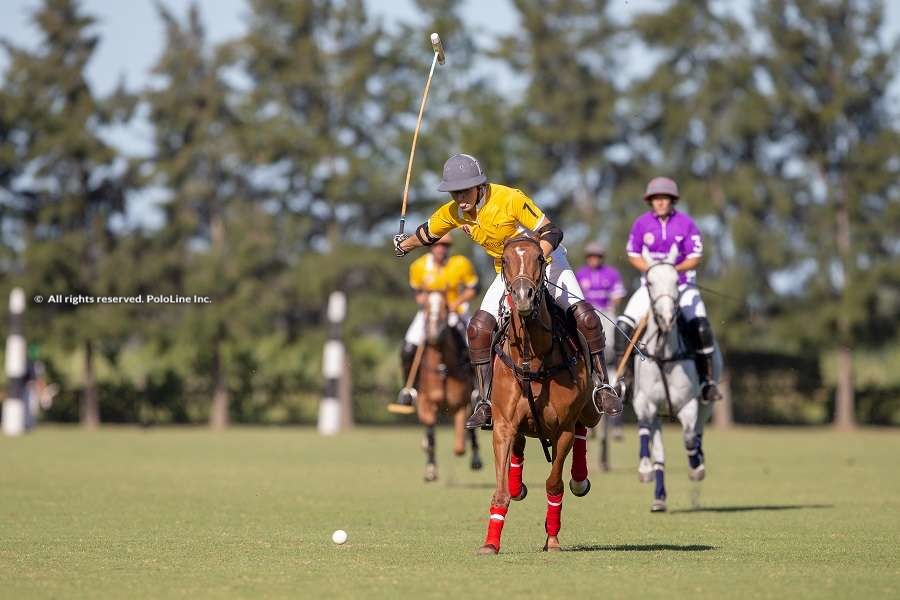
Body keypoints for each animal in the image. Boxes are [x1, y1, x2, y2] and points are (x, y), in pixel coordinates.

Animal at [416, 290, 482, 482]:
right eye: (426, 306)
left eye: (445, 306)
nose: (433, 331)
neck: (442, 366)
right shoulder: (427, 402)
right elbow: (430, 436)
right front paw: (430, 470)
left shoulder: (460, 404)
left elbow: (460, 446)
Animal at [478, 237, 596, 556]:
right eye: (505, 260)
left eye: (541, 259)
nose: (521, 297)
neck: (534, 356)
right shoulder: (503, 425)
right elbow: (500, 492)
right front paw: (490, 543)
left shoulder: (562, 429)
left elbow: (554, 483)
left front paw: (552, 539)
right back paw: (517, 483)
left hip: (590, 409)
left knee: (583, 428)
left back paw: (579, 479)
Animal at [632, 248, 724, 510]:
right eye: (650, 282)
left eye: (676, 281)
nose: (666, 318)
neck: (664, 353)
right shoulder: (645, 403)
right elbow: (645, 433)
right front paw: (644, 469)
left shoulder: (689, 405)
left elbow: (689, 439)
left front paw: (696, 467)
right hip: (659, 416)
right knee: (659, 454)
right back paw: (659, 497)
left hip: (706, 404)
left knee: (698, 432)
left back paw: (698, 462)